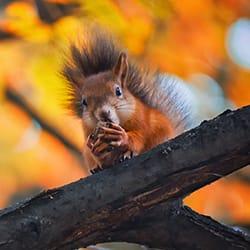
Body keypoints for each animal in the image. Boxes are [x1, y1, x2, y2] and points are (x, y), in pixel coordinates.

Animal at [61, 28, 192, 174]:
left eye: (118, 91)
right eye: (84, 102)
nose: (103, 113)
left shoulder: (142, 121)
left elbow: (139, 137)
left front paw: (121, 137)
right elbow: (102, 158)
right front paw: (93, 147)